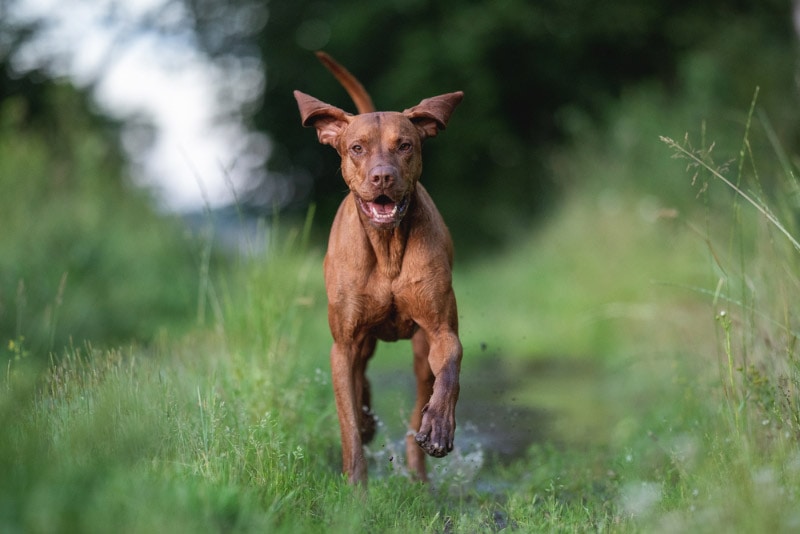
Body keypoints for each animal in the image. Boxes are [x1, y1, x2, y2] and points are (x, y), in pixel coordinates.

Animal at [296, 54, 466, 486]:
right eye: (357, 148)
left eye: (404, 145)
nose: (382, 176)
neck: (387, 248)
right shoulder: (344, 344)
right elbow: (349, 423)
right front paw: (356, 487)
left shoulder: (440, 330)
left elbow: (451, 366)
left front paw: (439, 427)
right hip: (362, 341)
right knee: (361, 385)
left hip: (419, 352)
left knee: (421, 396)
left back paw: (420, 471)